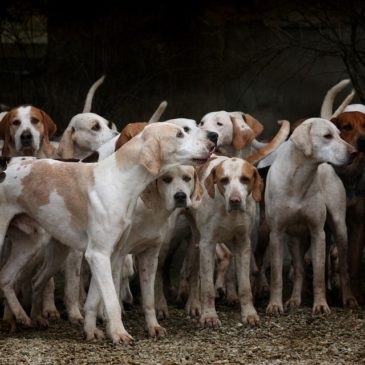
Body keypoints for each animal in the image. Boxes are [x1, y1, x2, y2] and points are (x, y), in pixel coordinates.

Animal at [264, 118, 356, 314]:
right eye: (327, 136)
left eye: (340, 134)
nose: (354, 152)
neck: (298, 178)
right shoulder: (276, 234)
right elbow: (276, 275)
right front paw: (274, 305)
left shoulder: (317, 233)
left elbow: (319, 275)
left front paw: (320, 305)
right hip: (294, 239)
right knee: (299, 269)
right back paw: (294, 299)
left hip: (340, 229)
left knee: (343, 268)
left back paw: (349, 298)